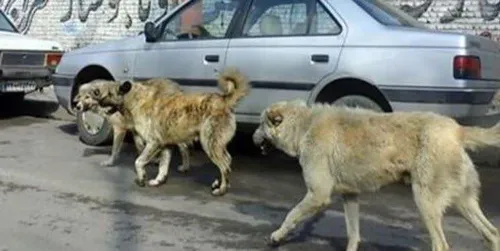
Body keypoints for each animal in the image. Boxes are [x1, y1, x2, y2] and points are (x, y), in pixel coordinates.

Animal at [86, 68, 250, 196]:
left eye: (110, 94)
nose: (98, 102)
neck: (135, 99)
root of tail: (224, 100)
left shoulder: (153, 143)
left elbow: (138, 161)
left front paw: (141, 178)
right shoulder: (165, 146)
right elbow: (163, 166)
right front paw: (159, 180)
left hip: (209, 144)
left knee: (225, 165)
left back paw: (222, 189)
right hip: (215, 145)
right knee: (227, 160)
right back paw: (219, 183)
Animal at [254, 99, 500, 251]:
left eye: (260, 124)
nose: (252, 137)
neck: (304, 125)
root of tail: (457, 130)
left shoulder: (318, 195)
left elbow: (291, 215)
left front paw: (276, 236)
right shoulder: (350, 197)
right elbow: (353, 234)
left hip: (426, 203)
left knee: (441, 245)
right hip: (463, 203)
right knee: (492, 233)